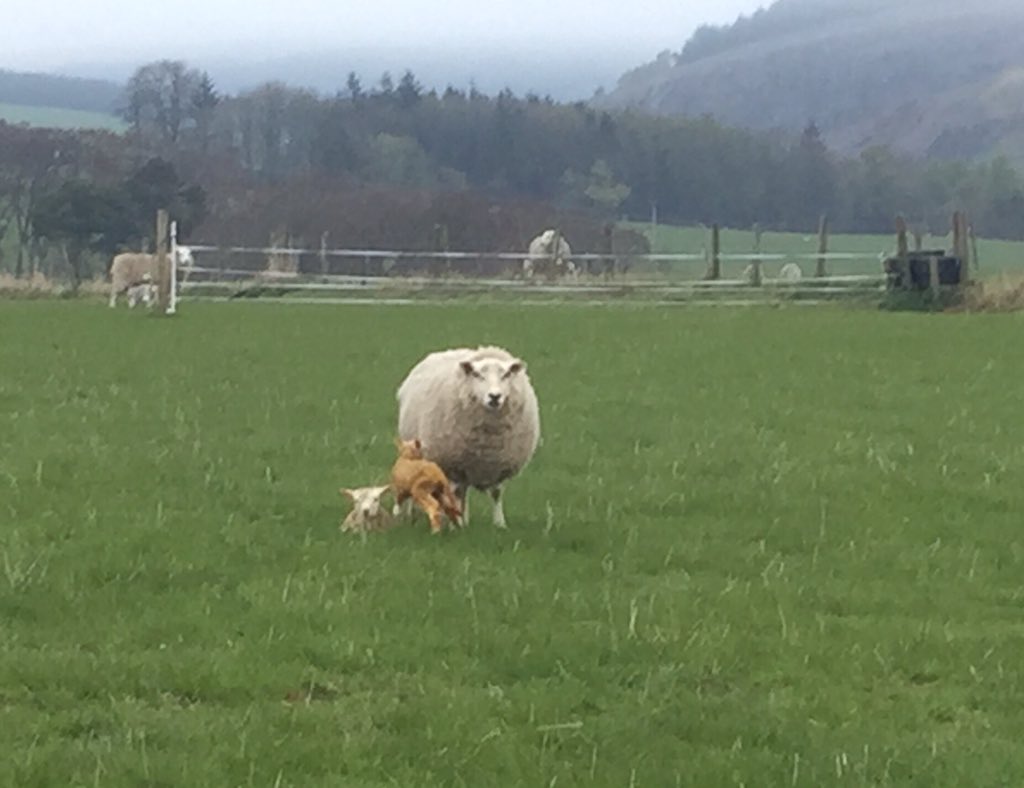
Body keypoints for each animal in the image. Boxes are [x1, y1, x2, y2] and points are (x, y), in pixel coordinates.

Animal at [396, 346, 540, 529]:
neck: (489, 439)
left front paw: (499, 524)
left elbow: (496, 493)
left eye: (506, 375)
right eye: (477, 375)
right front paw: (455, 525)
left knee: (463, 492)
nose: (495, 397)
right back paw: (412, 516)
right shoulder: (454, 465)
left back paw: (463, 518)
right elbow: (455, 493)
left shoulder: (500, 464)